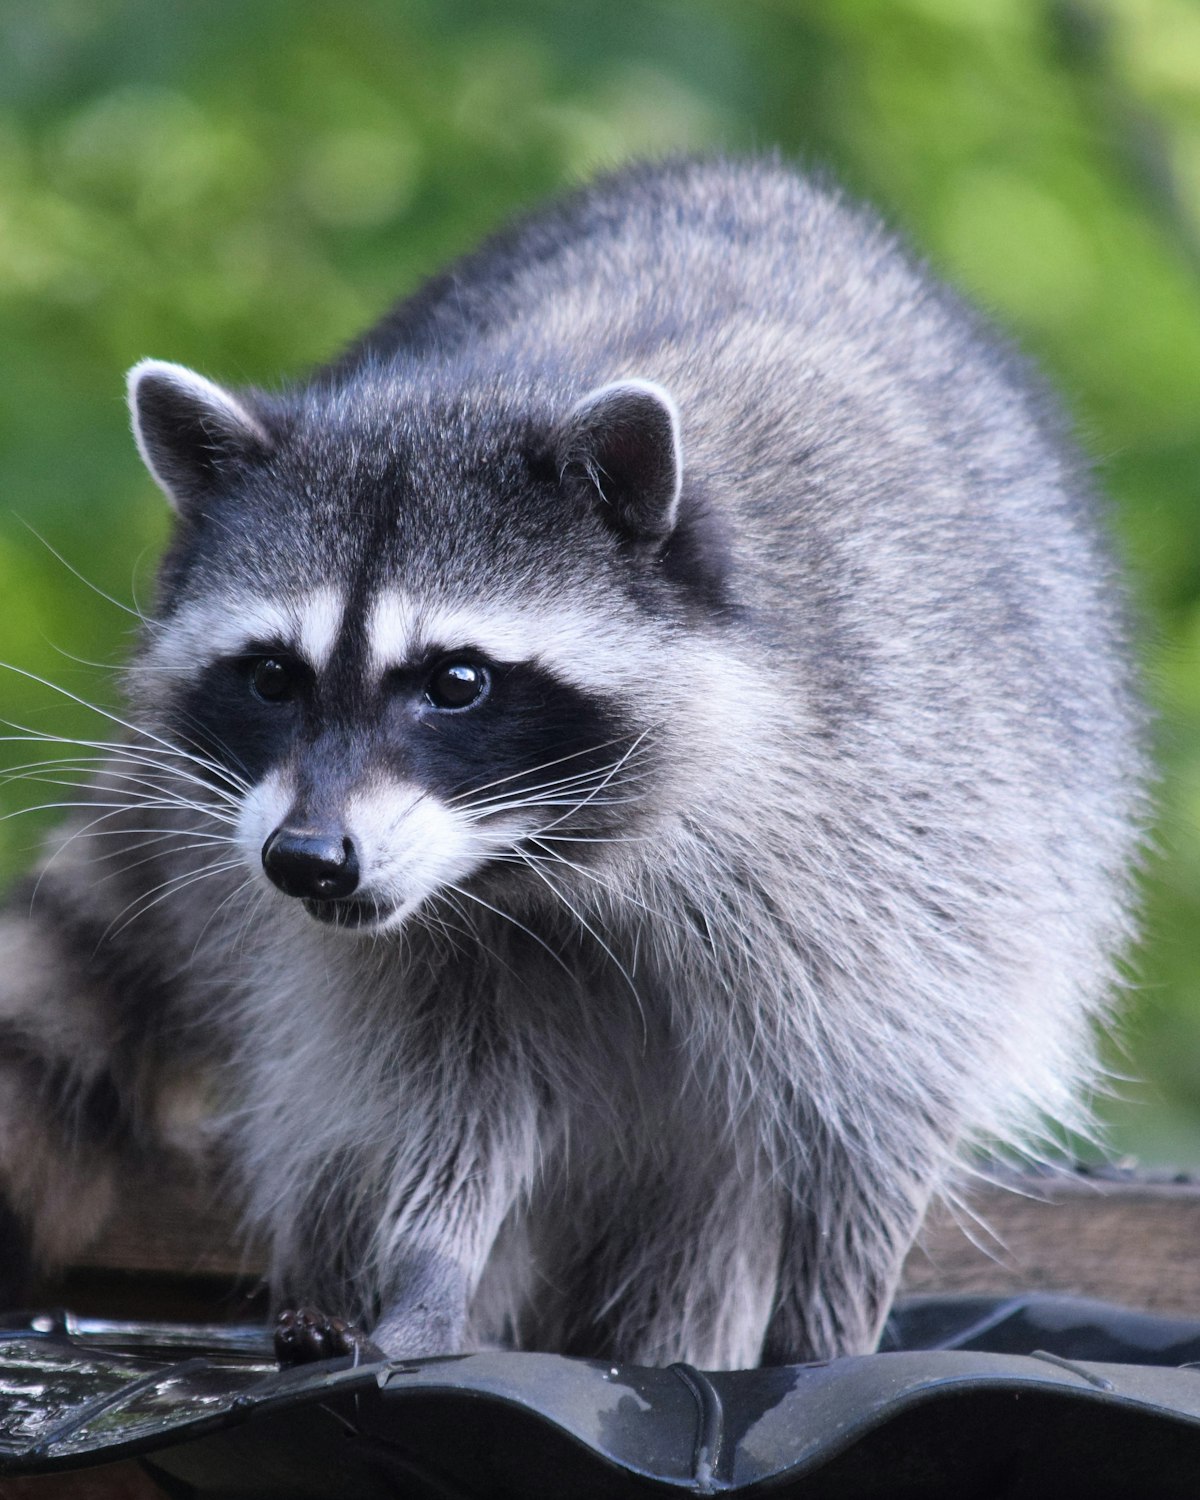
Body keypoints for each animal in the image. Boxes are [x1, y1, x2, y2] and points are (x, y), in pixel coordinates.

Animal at [0, 157, 1144, 1369]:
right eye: (272, 678)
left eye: (457, 681)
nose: (306, 860)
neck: (545, 861)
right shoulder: (417, 951)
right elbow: (449, 1103)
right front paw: (429, 1269)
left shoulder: (910, 808)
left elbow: (875, 1110)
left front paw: (828, 1331)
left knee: (714, 1207)